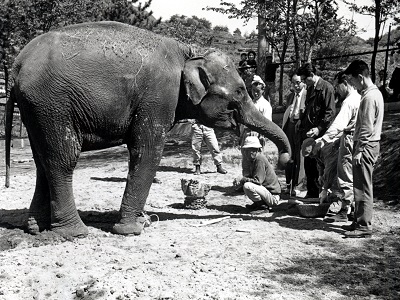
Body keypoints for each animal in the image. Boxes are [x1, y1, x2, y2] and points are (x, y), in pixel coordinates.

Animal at [4, 20, 290, 237]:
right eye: (240, 91)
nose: (285, 158)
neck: (188, 51)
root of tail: (16, 66)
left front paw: (147, 220)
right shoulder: (159, 96)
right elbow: (148, 150)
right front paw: (134, 229)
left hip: (37, 110)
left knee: (43, 160)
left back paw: (35, 228)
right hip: (52, 104)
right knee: (63, 159)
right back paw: (74, 233)